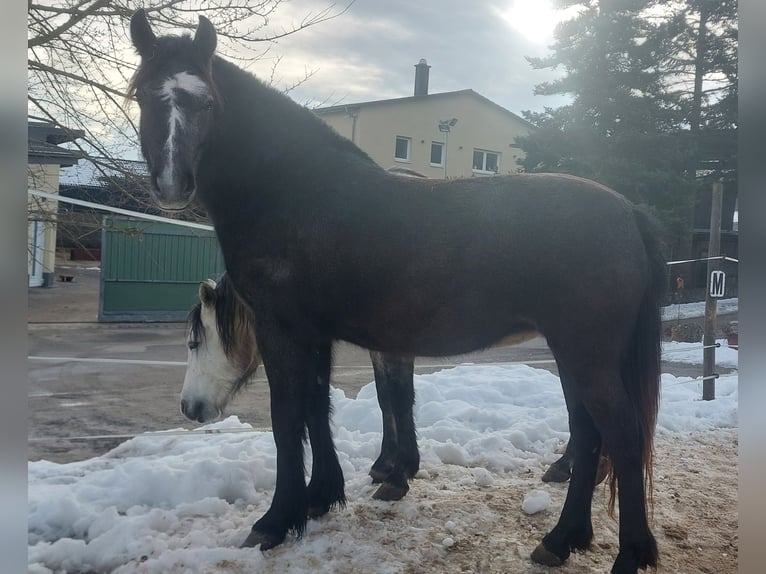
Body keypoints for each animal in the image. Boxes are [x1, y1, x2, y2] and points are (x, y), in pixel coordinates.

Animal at [129, 11, 666, 573]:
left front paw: (276, 521)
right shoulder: (318, 336)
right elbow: (319, 410)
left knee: (622, 437)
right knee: (589, 437)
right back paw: (563, 539)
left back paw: (624, 553)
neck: (295, 194)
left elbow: (288, 419)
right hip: (574, 354)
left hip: (586, 355)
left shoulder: (286, 333)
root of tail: (629, 213)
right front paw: (322, 497)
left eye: (206, 102)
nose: (172, 185)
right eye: (143, 95)